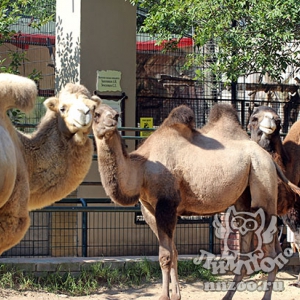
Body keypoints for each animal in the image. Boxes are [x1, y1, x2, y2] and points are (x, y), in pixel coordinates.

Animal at [92, 102, 282, 300]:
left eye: (115, 114)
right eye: (96, 114)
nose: (112, 120)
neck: (142, 168)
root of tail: (269, 158)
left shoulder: (166, 204)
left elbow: (165, 256)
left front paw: (164, 296)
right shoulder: (150, 210)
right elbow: (174, 253)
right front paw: (176, 295)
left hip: (263, 182)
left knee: (272, 250)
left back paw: (264, 296)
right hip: (244, 198)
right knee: (245, 245)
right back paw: (227, 295)